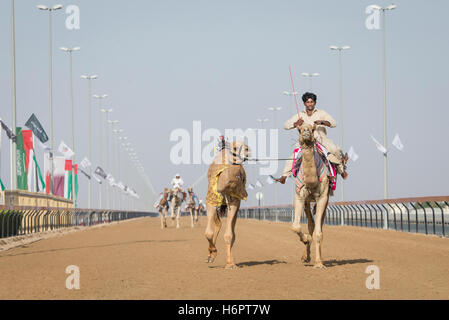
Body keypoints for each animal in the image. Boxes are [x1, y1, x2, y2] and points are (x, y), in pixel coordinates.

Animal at [204, 139, 248, 268]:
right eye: (235, 147)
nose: (247, 151)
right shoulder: (211, 200)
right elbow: (208, 233)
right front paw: (212, 254)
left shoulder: (235, 201)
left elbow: (229, 235)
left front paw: (229, 264)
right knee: (218, 223)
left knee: (232, 232)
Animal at [292, 124, 330, 268]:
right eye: (299, 128)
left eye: (313, 128)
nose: (306, 131)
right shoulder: (300, 196)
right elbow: (295, 226)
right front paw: (306, 239)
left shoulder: (323, 197)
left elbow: (318, 233)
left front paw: (319, 263)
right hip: (307, 203)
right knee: (311, 224)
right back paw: (306, 256)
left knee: (318, 226)